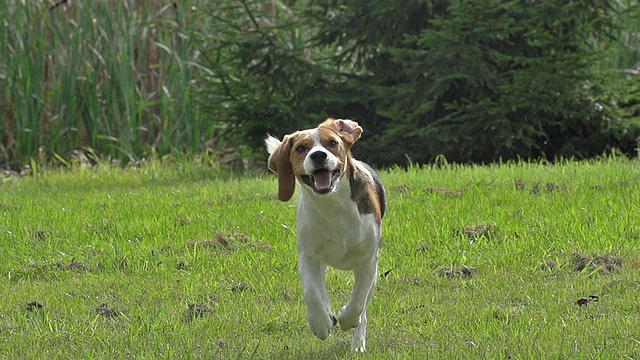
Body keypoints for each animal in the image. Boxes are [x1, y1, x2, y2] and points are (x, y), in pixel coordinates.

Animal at [264, 118, 384, 352]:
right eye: (301, 148)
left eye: (332, 143)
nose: (318, 155)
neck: (333, 203)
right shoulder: (309, 257)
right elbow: (312, 292)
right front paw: (320, 323)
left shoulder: (367, 261)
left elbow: (358, 301)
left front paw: (347, 318)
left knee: (363, 308)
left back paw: (357, 341)